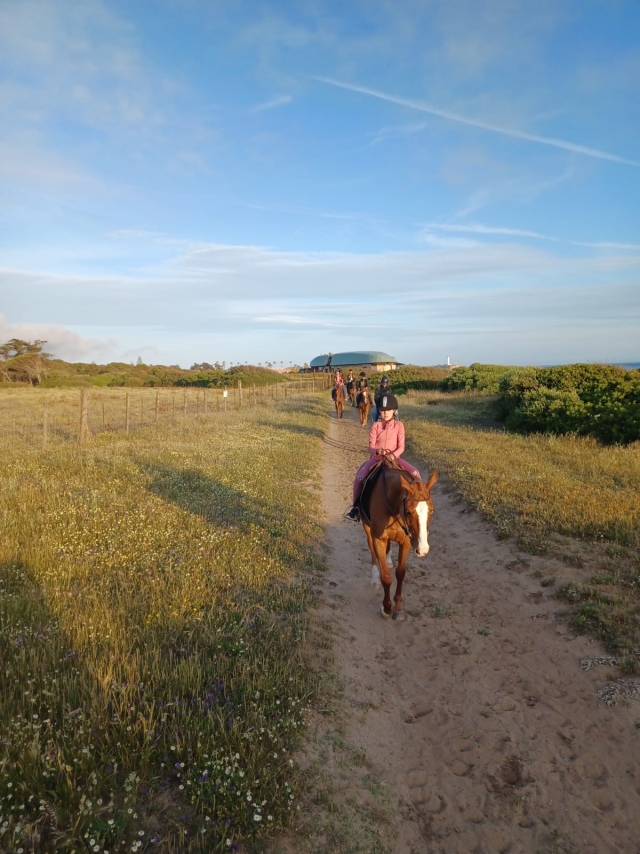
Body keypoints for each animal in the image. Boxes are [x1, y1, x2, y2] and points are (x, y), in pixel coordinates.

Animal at [361, 461, 438, 620]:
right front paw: (387, 608)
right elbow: (386, 576)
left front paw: (398, 608)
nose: (423, 549)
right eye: (408, 512)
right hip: (367, 528)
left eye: (432, 510)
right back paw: (374, 578)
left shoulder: (406, 542)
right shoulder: (378, 539)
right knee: (372, 550)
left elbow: (400, 573)